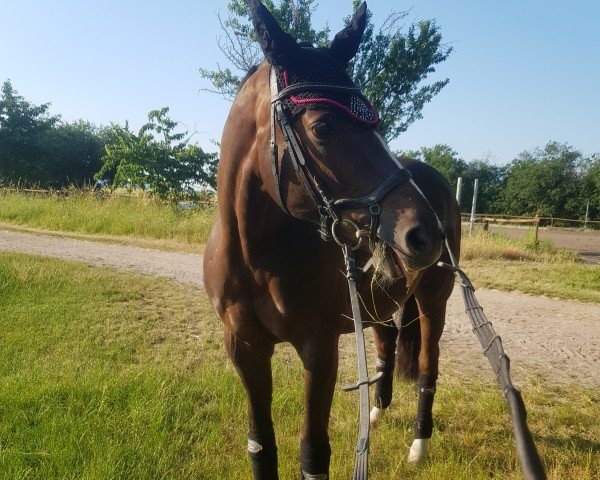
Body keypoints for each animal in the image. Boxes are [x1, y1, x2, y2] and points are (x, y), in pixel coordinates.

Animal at [204, 1, 462, 478]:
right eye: (323, 127)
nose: (426, 233)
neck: (256, 259)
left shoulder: (319, 350)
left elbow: (312, 452)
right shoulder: (245, 349)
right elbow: (260, 446)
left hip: (434, 299)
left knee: (427, 366)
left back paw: (418, 445)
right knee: (386, 344)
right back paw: (375, 415)